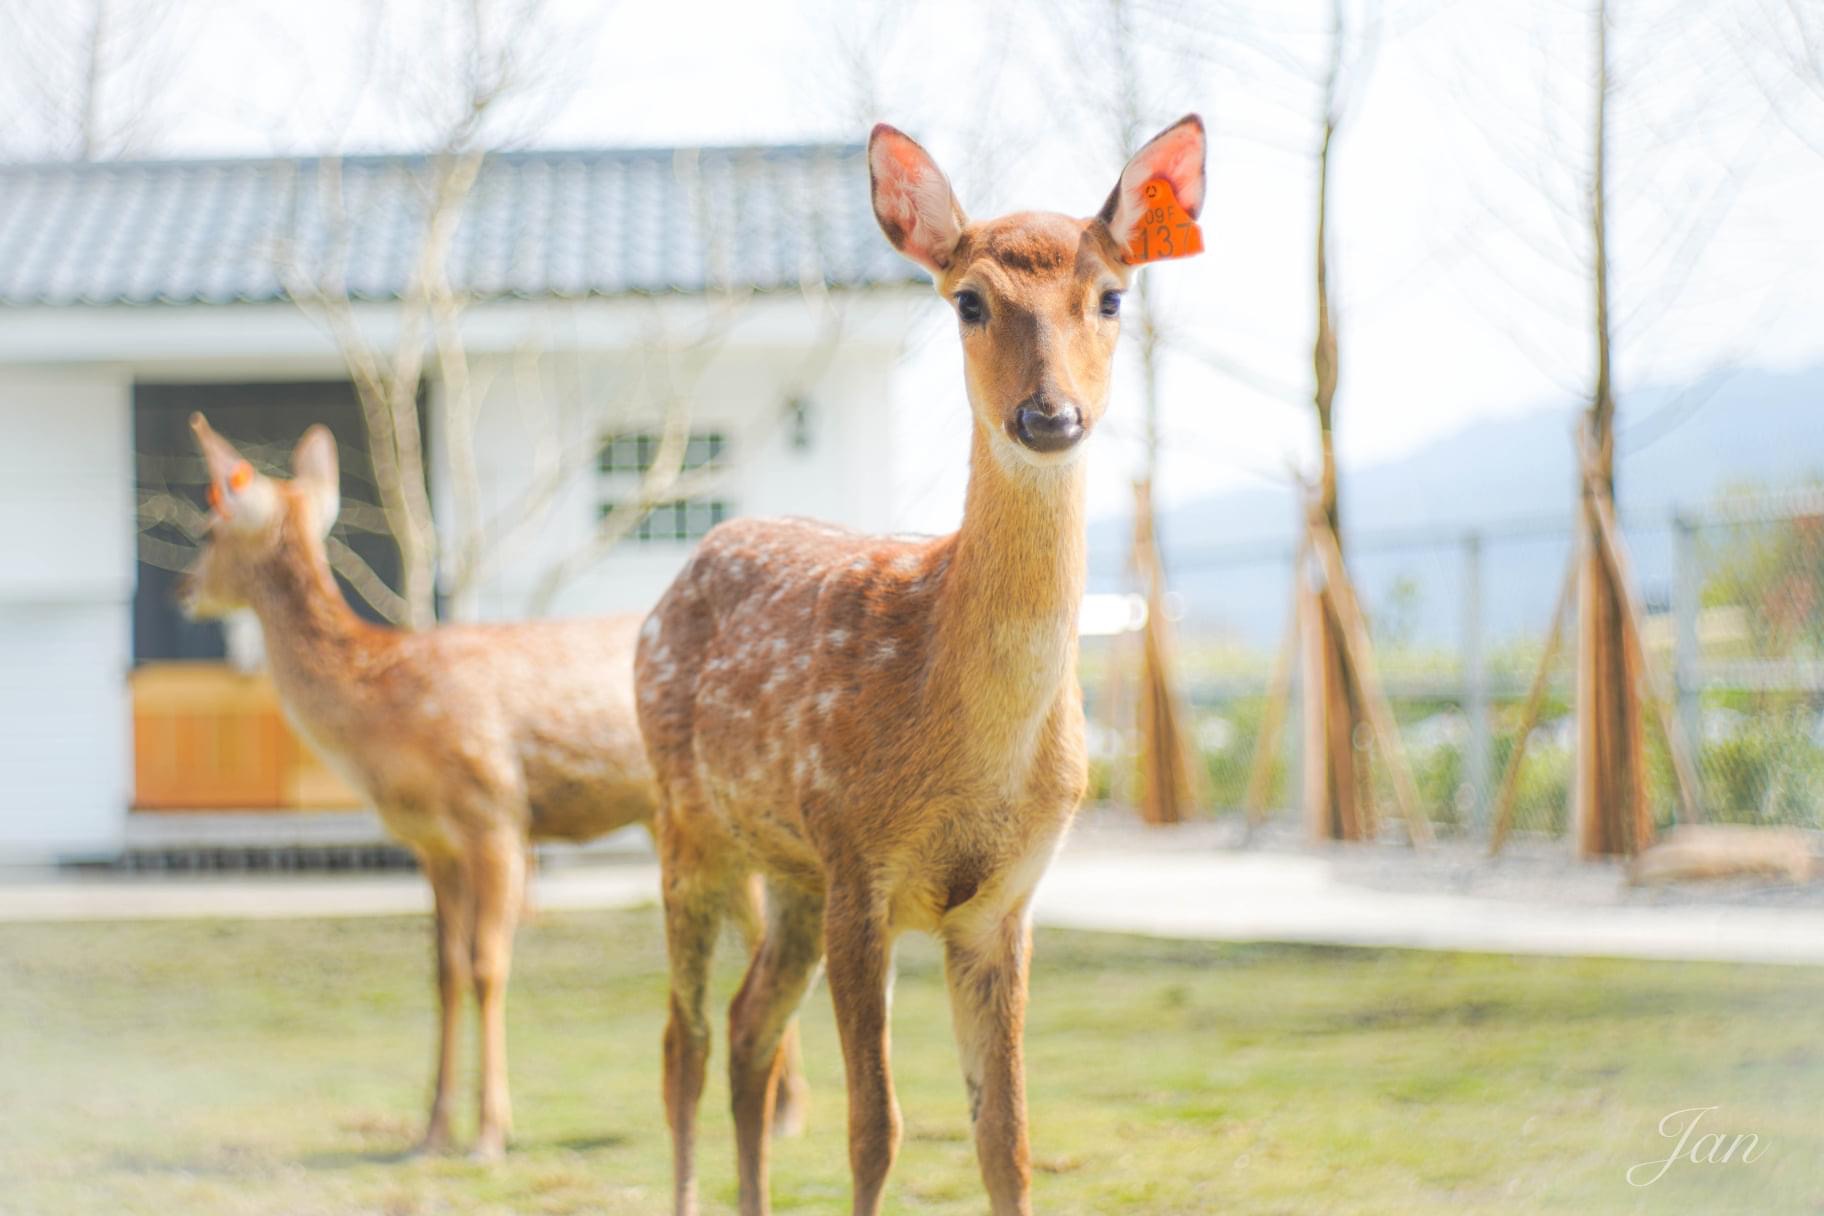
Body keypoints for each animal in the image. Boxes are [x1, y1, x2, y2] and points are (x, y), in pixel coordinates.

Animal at [179, 415, 806, 1159]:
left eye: (208, 529)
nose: (182, 589)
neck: (384, 709)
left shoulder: (495, 813)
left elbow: (487, 964)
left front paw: (489, 1133)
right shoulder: (433, 844)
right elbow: (445, 970)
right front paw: (431, 1133)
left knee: (763, 927)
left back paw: (787, 1113)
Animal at [634, 116, 1203, 1216]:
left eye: (1113, 295)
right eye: (969, 299)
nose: (1049, 415)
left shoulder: (1001, 903)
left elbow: (1005, 1138)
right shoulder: (861, 861)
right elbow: (876, 1130)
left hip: (791, 870)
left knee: (747, 1029)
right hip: (690, 824)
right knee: (682, 1038)